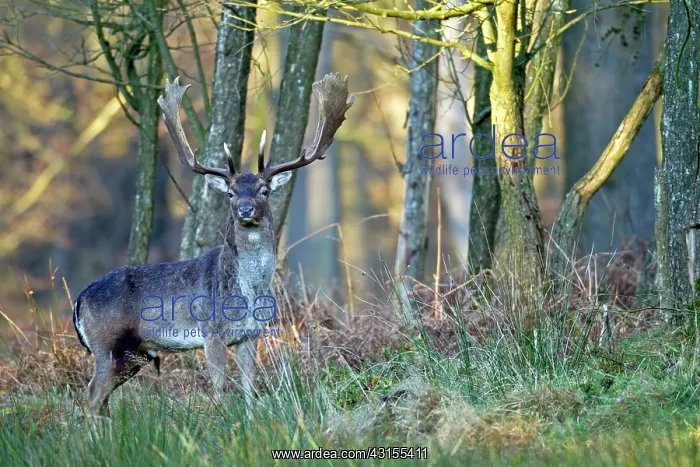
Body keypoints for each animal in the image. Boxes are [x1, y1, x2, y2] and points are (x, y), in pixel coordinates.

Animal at [72, 72, 354, 417]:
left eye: (264, 190)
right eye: (231, 193)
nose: (245, 210)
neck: (249, 292)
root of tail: (79, 301)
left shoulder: (251, 334)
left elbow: (249, 387)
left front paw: (250, 419)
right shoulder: (212, 332)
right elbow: (219, 388)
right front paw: (223, 419)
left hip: (134, 354)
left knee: (101, 399)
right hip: (107, 343)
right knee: (91, 395)